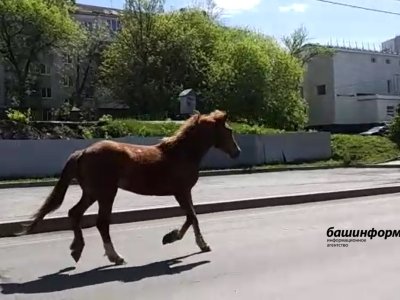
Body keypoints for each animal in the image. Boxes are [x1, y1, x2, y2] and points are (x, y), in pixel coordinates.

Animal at [19, 109, 241, 264]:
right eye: (229, 130)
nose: (237, 152)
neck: (181, 153)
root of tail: (83, 152)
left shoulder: (184, 193)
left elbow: (192, 216)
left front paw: (196, 243)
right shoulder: (181, 192)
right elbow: (192, 216)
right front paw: (174, 238)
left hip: (92, 193)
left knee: (75, 213)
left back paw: (77, 249)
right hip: (106, 193)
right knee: (101, 223)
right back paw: (115, 256)